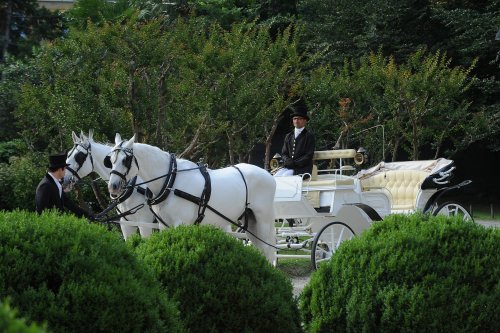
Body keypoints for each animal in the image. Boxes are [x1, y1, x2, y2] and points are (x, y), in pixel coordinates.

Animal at [108, 134, 278, 264]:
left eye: (126, 160)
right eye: (110, 160)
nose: (113, 187)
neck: (171, 180)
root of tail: (269, 175)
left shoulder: (180, 224)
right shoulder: (164, 225)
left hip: (263, 222)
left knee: (267, 250)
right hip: (250, 223)